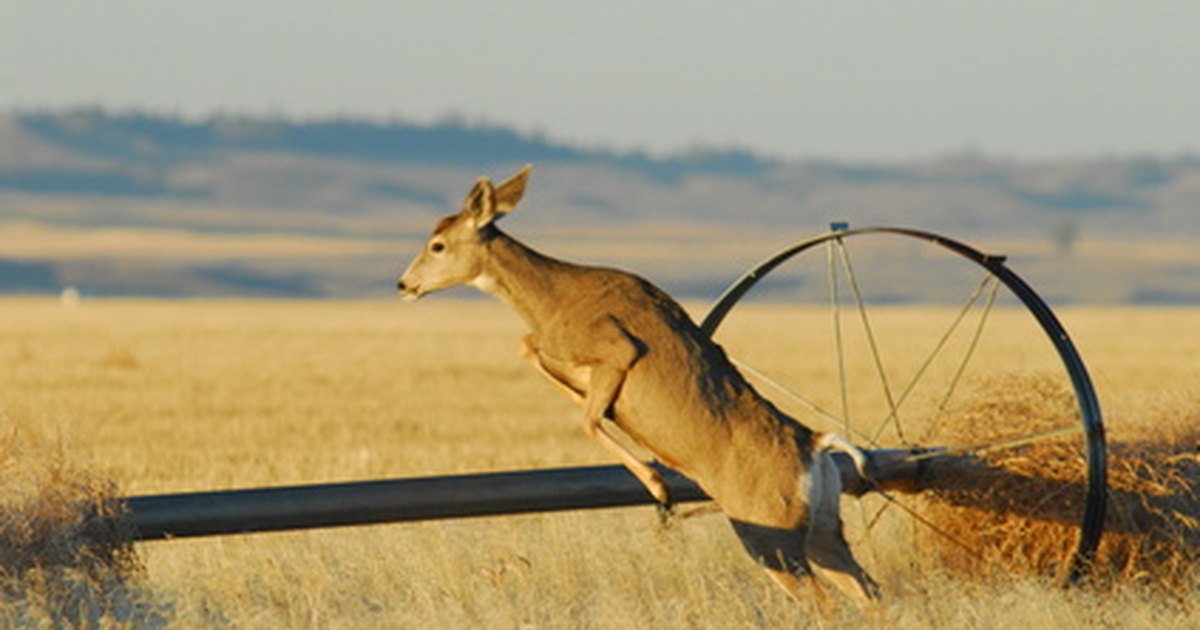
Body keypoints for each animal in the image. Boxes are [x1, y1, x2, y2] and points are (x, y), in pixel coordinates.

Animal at [398, 165, 878, 604]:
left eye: (438, 244)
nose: (404, 284)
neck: (556, 298)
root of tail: (816, 446)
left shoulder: (618, 347)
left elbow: (586, 415)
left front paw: (657, 484)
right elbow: (531, 349)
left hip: (770, 535)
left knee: (825, 602)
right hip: (824, 532)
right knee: (869, 589)